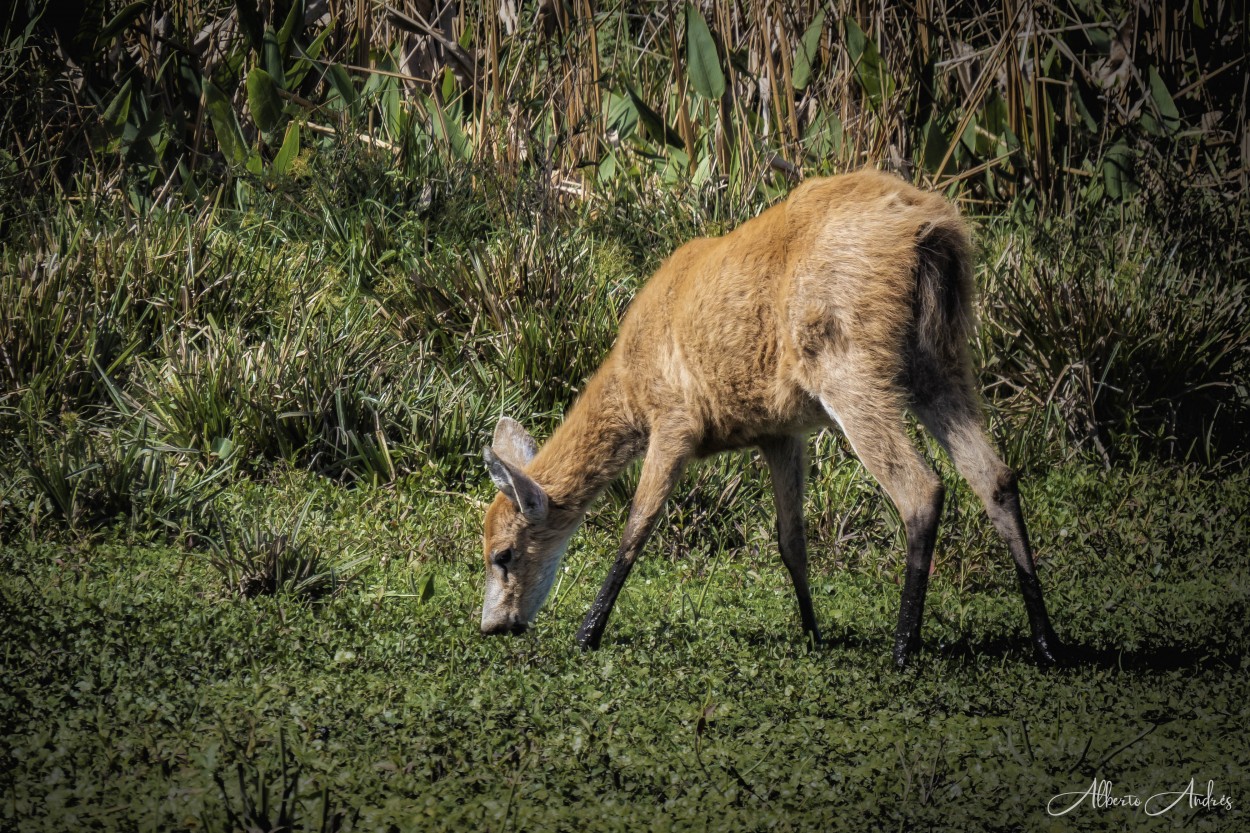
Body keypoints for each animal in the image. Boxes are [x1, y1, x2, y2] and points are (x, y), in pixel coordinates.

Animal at [477, 168, 1065, 670]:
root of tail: (933, 232)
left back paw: (904, 648)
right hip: (944, 362)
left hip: (853, 370)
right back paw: (1047, 643)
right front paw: (813, 632)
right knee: (996, 477)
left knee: (921, 488)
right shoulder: (780, 433)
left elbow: (636, 526)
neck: (630, 383)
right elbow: (791, 541)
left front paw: (587, 633)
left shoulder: (675, 422)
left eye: (503, 554)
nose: (493, 626)